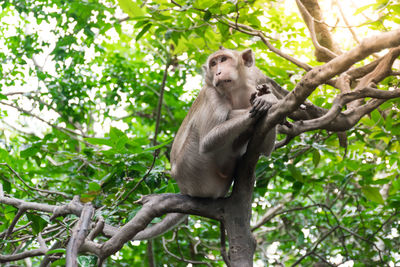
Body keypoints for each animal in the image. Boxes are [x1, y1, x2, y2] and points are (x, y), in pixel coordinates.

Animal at [133, 47, 280, 241]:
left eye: (223, 60)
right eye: (213, 63)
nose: (218, 72)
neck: (235, 92)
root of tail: (184, 188)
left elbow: (265, 148)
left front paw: (268, 98)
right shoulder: (211, 94)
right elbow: (208, 142)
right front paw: (267, 100)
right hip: (194, 172)